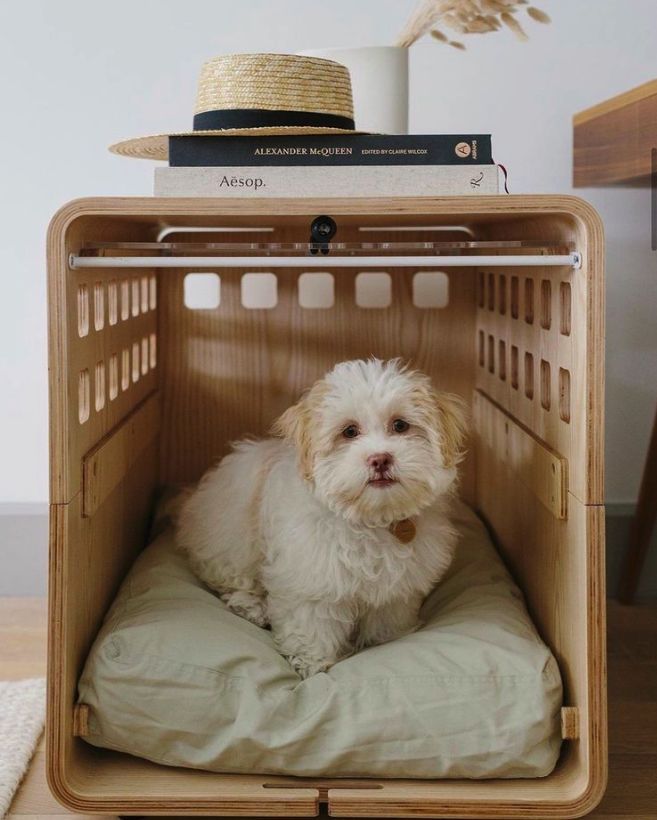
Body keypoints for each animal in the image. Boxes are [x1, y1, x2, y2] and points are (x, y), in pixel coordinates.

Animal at [176, 358, 466, 680]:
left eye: (400, 425)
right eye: (349, 431)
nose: (380, 459)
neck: (371, 520)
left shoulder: (398, 589)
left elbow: (387, 619)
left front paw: (383, 641)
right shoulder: (311, 581)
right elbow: (311, 626)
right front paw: (312, 666)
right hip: (231, 536)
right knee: (228, 577)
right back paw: (252, 607)